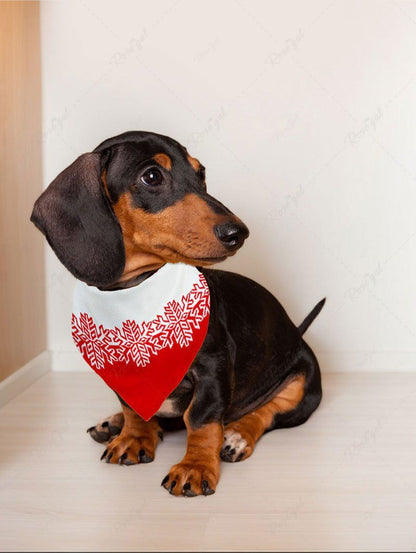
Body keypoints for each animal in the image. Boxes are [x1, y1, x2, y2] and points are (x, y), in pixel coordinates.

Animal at [32, 130, 324, 496]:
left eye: (201, 175)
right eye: (152, 176)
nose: (238, 233)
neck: (136, 295)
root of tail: (297, 332)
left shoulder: (213, 365)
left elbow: (200, 419)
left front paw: (195, 467)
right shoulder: (122, 373)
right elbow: (132, 407)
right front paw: (133, 437)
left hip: (304, 383)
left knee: (268, 412)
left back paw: (237, 436)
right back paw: (113, 423)